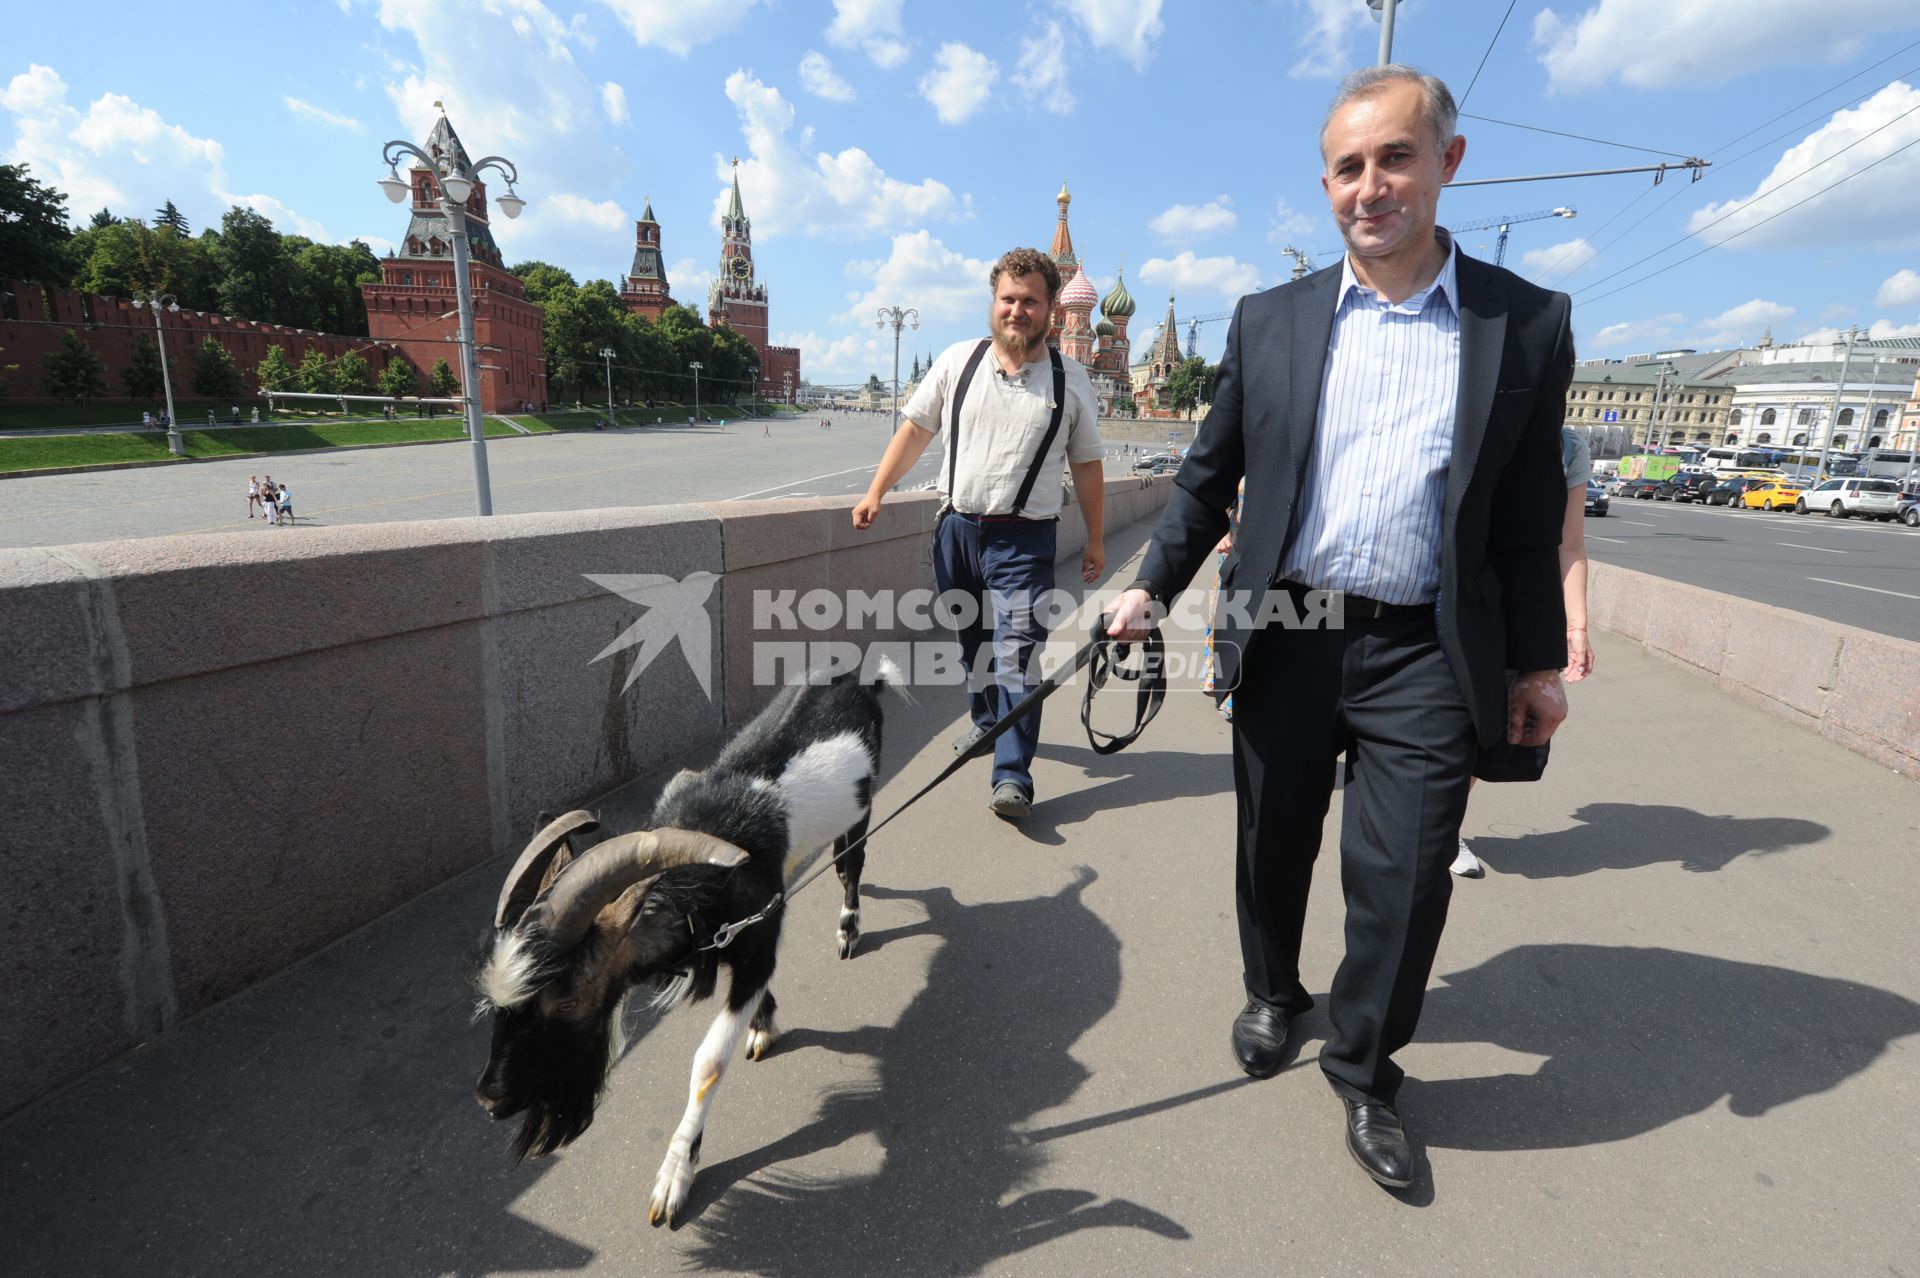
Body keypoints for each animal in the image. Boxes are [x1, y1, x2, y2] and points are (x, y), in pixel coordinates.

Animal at [468, 660, 894, 1220]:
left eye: (568, 999)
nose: (490, 1100)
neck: (706, 876)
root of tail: (858, 676)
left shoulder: (758, 943)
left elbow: (709, 1061)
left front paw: (675, 1175)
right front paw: (763, 1022)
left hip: (862, 807)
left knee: (852, 861)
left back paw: (849, 926)